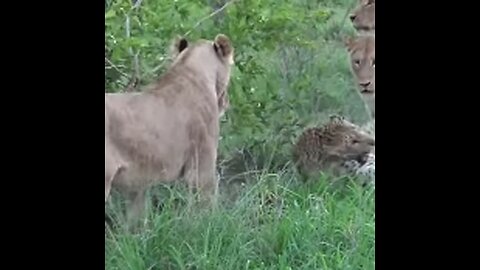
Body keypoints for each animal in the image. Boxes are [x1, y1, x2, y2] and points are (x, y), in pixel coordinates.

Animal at [104, 33, 234, 226]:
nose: (227, 102)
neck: (191, 71)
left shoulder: (137, 185)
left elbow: (136, 220)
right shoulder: (202, 166)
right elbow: (206, 207)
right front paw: (210, 226)